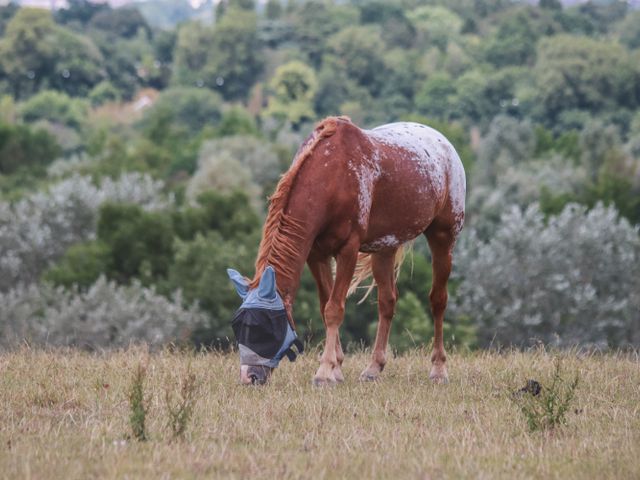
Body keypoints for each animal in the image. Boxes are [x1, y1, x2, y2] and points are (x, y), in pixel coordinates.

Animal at [227, 116, 466, 386]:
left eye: (264, 328)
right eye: (238, 326)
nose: (249, 377)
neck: (332, 175)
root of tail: (444, 143)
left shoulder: (348, 251)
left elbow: (334, 309)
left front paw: (324, 372)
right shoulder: (317, 255)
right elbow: (325, 306)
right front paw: (336, 368)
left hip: (443, 238)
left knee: (438, 300)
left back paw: (438, 369)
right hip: (385, 247)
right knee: (387, 301)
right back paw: (374, 367)